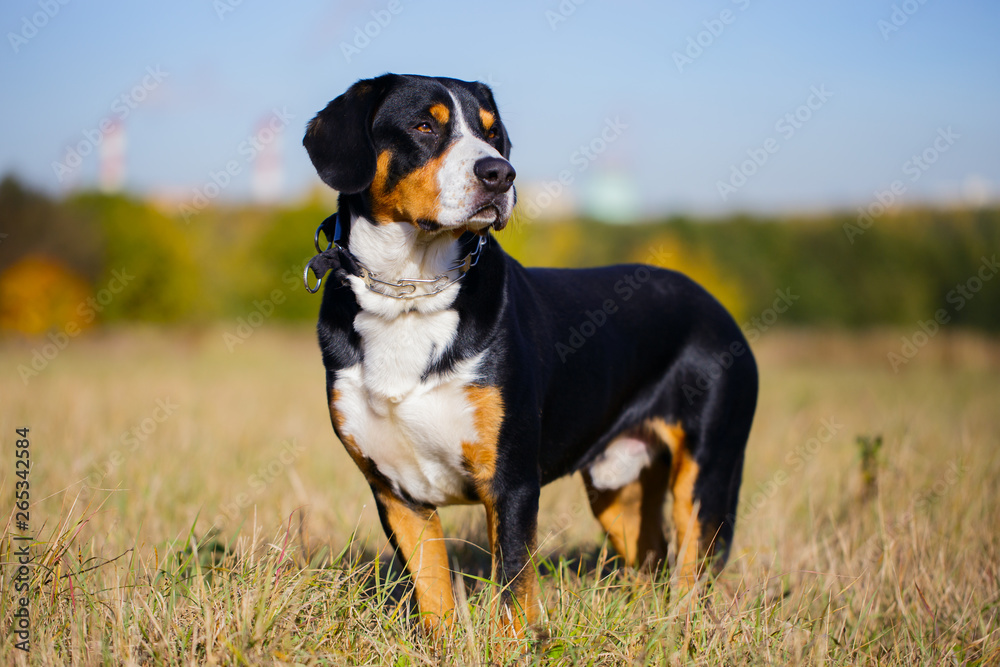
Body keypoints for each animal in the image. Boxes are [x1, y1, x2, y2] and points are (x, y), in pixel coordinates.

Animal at [302, 74, 756, 640]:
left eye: (492, 134)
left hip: (706, 471)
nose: (499, 173)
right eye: (423, 125)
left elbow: (516, 587)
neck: (409, 295)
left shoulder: (512, 481)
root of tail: (714, 304)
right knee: (650, 558)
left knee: (693, 570)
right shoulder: (396, 491)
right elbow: (433, 591)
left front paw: (515, 646)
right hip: (618, 488)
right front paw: (443, 645)